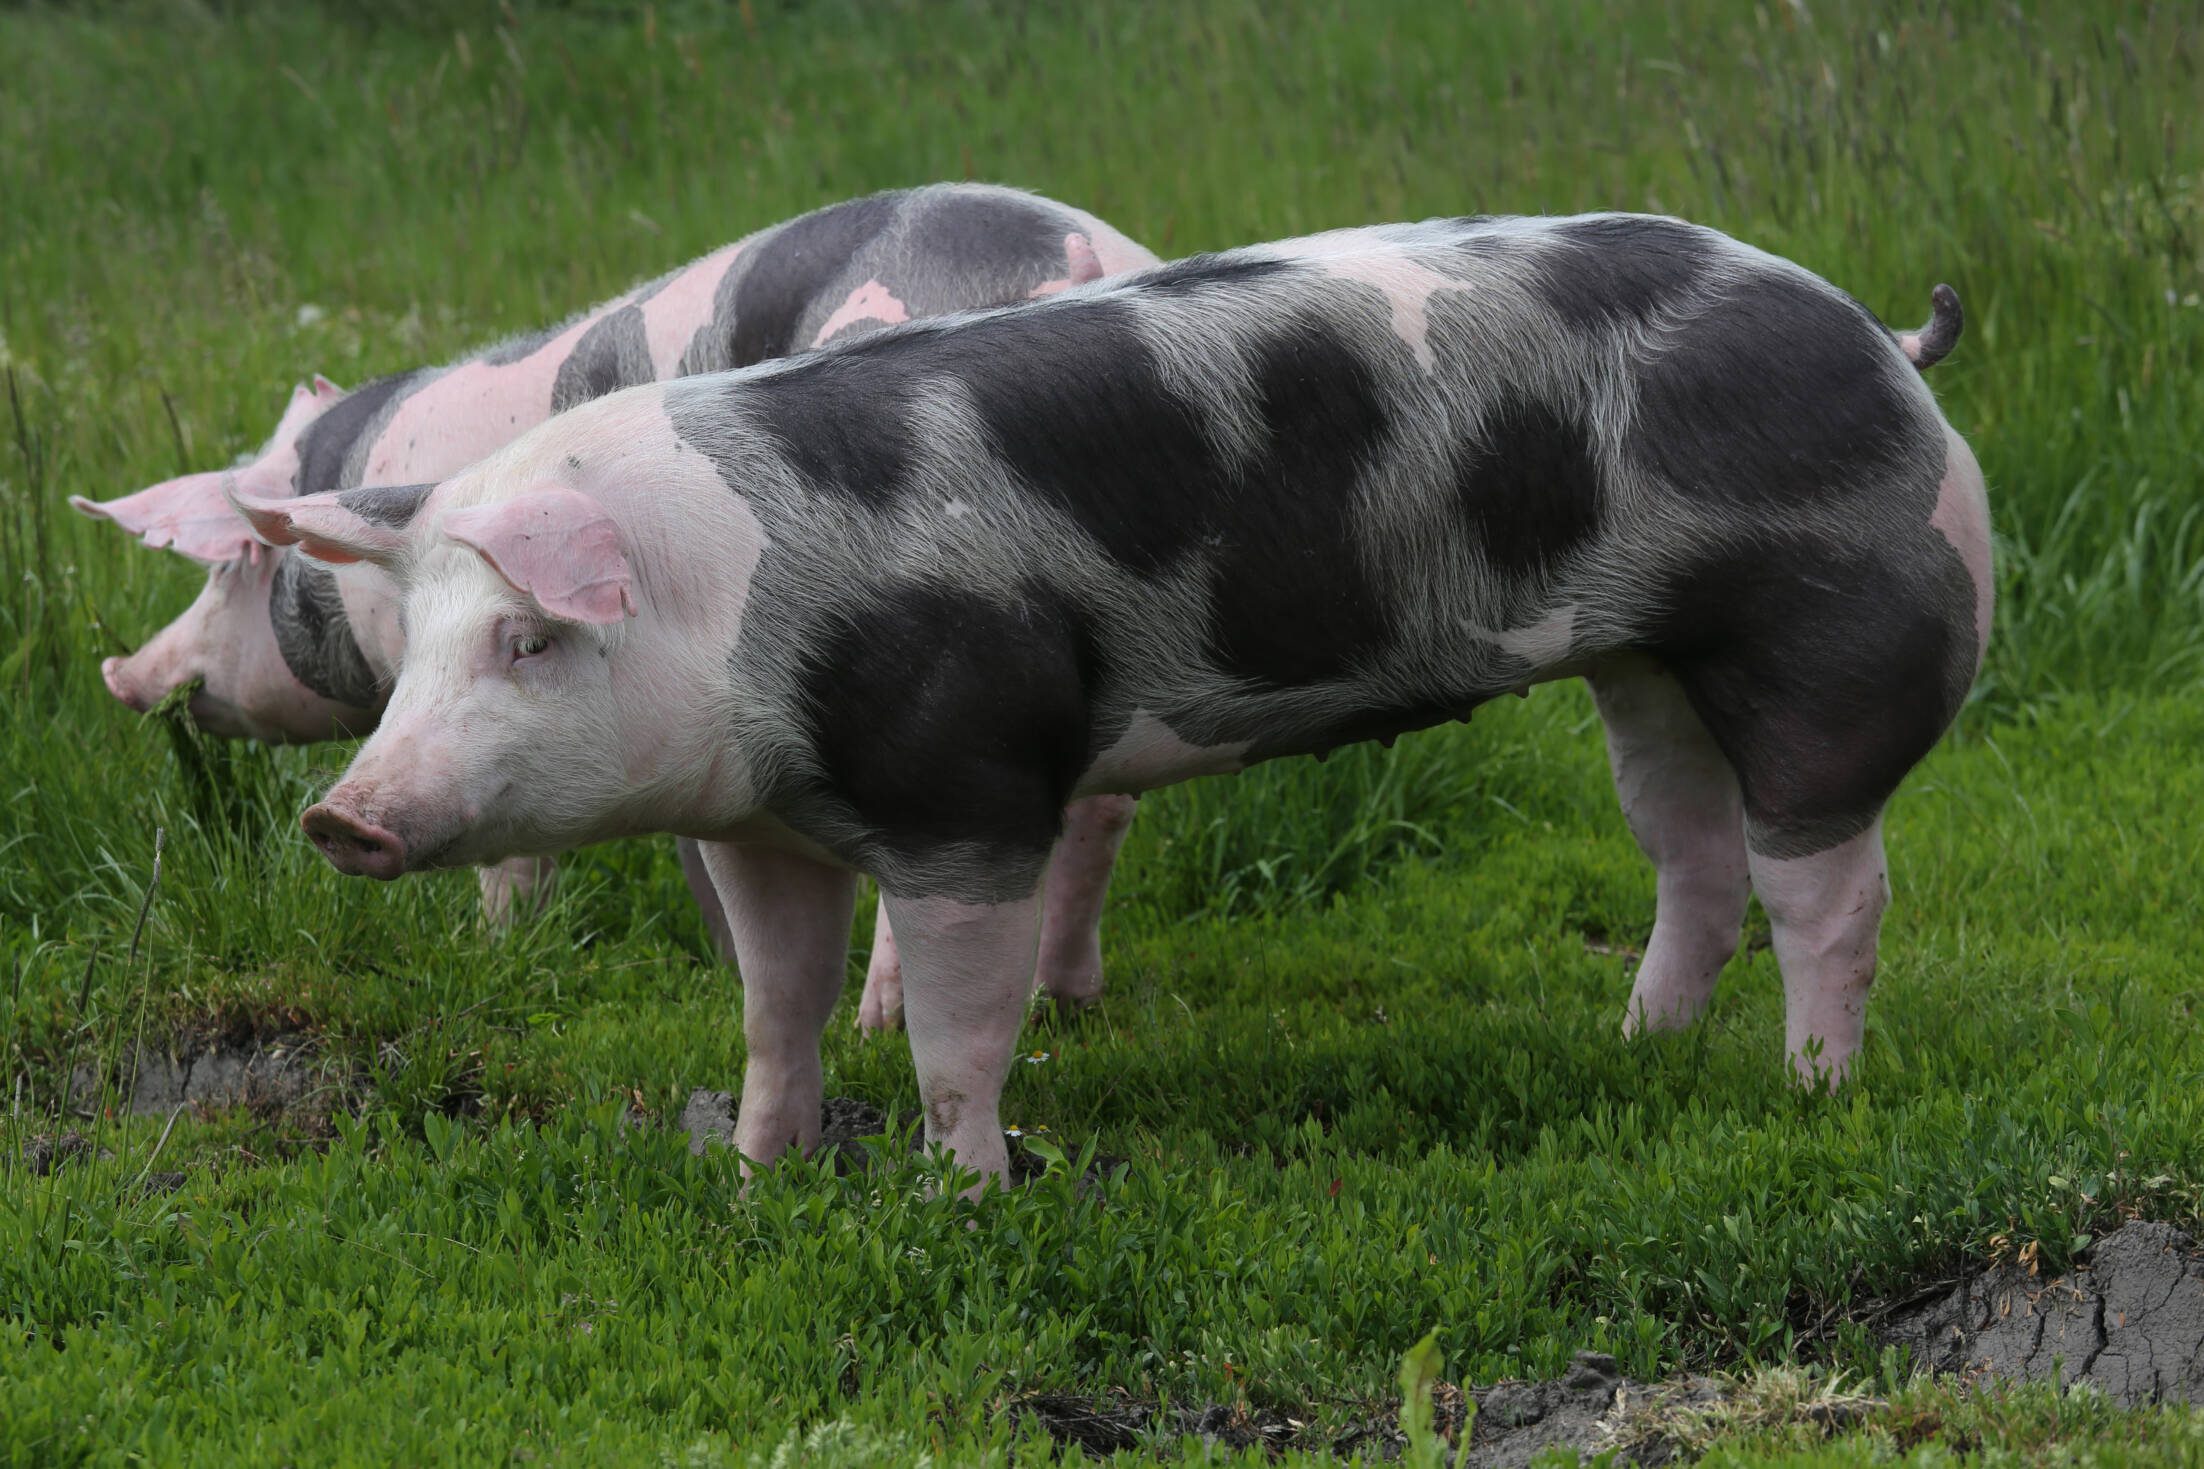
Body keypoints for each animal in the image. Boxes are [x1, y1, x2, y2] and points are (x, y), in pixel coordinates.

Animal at [72, 182, 1159, 1022]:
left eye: (227, 568)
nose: (122, 673)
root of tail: (1068, 258)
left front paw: (499, 951)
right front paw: (720, 963)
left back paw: (879, 1021)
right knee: (1098, 808)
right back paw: (1065, 999)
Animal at [236, 213, 1989, 1188]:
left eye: (528, 641)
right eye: (423, 638)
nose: (340, 818)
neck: (730, 602)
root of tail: (1885, 345)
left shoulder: (966, 788)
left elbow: (958, 1026)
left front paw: (961, 1195)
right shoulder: (762, 819)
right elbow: (772, 1006)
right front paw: (752, 1176)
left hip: (1830, 640)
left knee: (1833, 887)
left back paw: (1811, 1091)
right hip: (1646, 665)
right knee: (1692, 853)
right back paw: (1638, 1046)